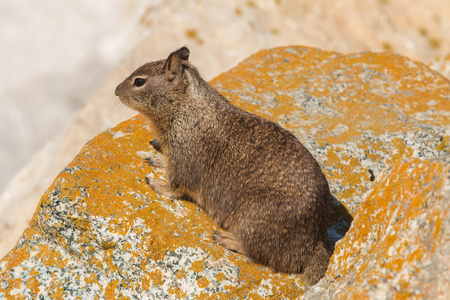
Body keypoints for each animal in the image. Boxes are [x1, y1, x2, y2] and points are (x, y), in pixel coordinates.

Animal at [116, 47, 332, 286]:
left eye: (139, 81)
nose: (116, 91)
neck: (184, 108)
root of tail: (315, 244)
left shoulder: (185, 161)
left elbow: (175, 187)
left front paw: (155, 183)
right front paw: (157, 158)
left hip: (252, 218)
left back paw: (227, 238)